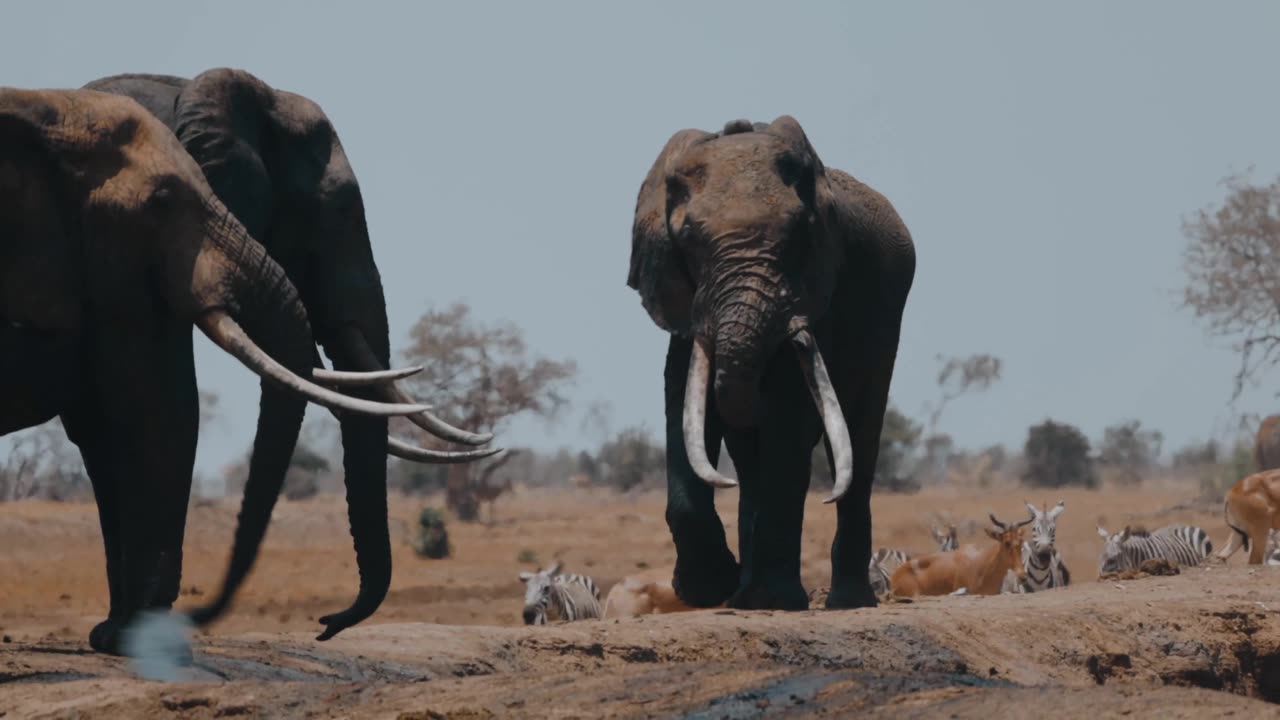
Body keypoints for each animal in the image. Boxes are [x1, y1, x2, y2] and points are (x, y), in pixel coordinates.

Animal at [0, 87, 430, 653]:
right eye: (161, 201)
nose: (325, 625)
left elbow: (123, 423)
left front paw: (114, 635)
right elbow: (160, 409)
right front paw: (134, 636)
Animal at [627, 114, 911, 607]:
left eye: (797, 236)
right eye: (690, 239)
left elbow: (789, 417)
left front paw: (771, 600)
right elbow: (683, 403)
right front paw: (709, 590)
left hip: (886, 324)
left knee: (859, 438)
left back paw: (844, 601)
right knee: (749, 462)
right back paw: (743, 595)